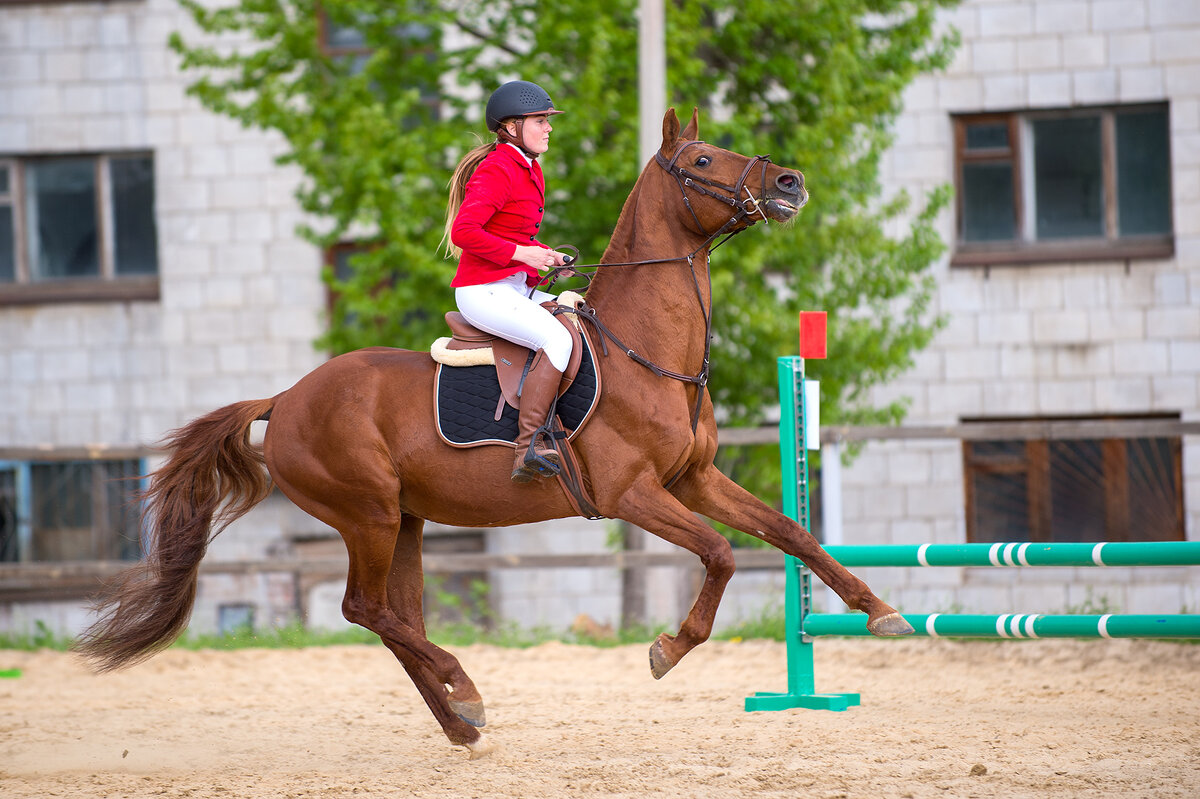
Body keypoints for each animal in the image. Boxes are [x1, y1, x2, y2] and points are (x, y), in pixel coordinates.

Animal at [79, 105, 912, 753]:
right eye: (704, 159)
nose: (789, 183)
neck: (645, 350)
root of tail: (286, 398)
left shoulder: (694, 478)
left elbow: (790, 532)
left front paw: (882, 611)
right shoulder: (633, 493)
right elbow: (721, 553)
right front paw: (667, 649)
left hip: (406, 521)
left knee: (392, 615)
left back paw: (461, 720)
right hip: (366, 513)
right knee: (365, 609)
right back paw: (462, 686)